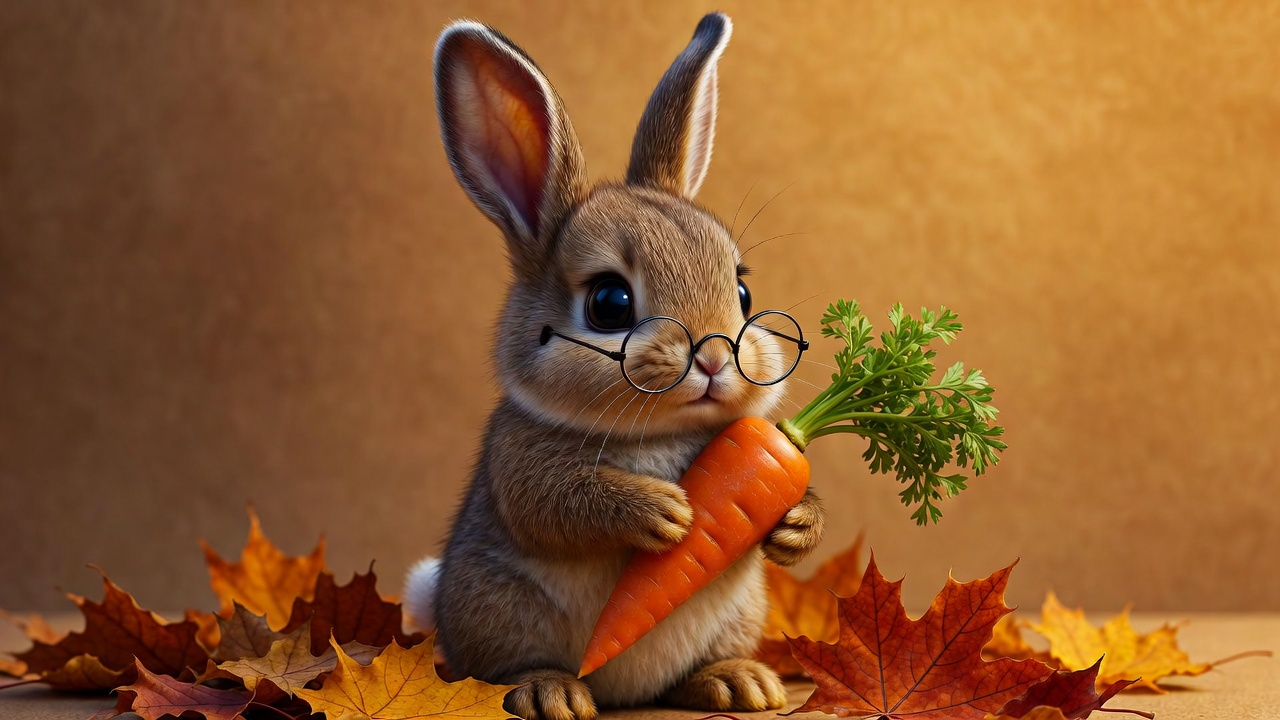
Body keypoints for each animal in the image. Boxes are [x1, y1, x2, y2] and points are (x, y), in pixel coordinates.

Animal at [404, 13, 826, 720]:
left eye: (742, 292)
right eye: (609, 303)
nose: (716, 355)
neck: (663, 434)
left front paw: (796, 525)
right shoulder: (520, 465)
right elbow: (555, 504)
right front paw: (665, 514)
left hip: (741, 612)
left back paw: (740, 683)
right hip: (498, 607)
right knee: (503, 671)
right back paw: (551, 692)